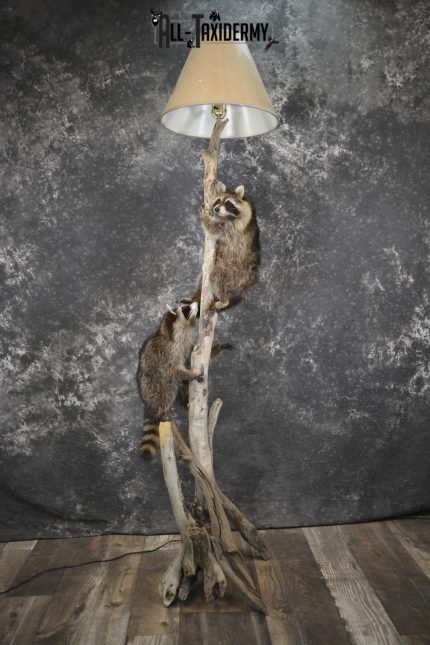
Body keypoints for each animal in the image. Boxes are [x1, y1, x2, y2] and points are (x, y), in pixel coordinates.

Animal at [136, 302, 203, 460]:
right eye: (186, 309)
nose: (197, 303)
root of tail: (147, 401)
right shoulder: (168, 353)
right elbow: (173, 371)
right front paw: (191, 375)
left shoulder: (183, 346)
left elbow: (187, 355)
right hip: (153, 386)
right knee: (168, 391)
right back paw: (162, 411)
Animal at [186, 183, 260, 311]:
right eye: (218, 201)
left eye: (228, 203)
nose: (216, 209)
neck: (227, 217)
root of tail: (248, 280)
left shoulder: (233, 229)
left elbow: (213, 228)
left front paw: (204, 215)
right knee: (203, 278)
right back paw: (196, 296)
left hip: (232, 271)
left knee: (216, 277)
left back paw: (224, 301)